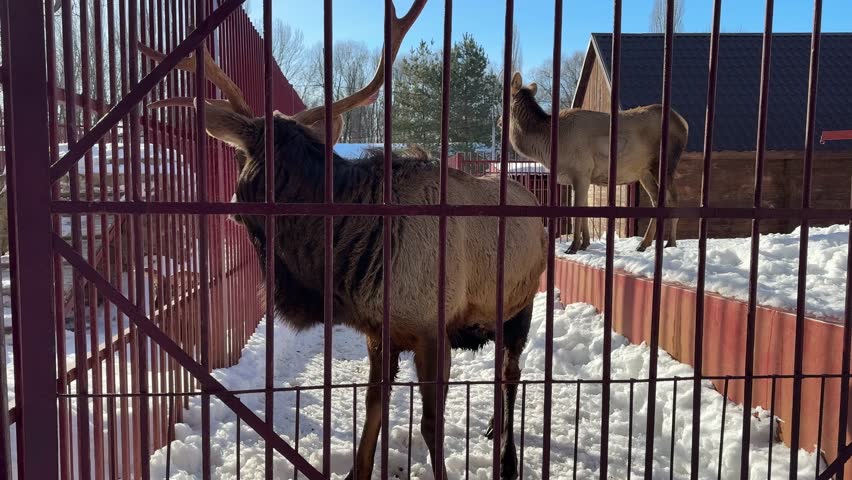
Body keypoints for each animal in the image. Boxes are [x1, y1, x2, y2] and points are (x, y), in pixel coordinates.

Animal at [140, 3, 547, 479]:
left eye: (244, 156)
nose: (236, 203)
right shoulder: (379, 333)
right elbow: (373, 407)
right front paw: (357, 469)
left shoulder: (432, 328)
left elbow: (431, 423)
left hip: (520, 305)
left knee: (510, 374)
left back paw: (508, 457)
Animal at [500, 71, 689, 254]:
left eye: (504, 99)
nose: (499, 121)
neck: (545, 146)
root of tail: (684, 124)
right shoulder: (583, 177)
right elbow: (584, 207)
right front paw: (585, 243)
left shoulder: (581, 170)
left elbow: (577, 209)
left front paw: (573, 246)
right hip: (644, 171)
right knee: (656, 199)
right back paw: (644, 243)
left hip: (665, 162)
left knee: (673, 198)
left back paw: (670, 243)